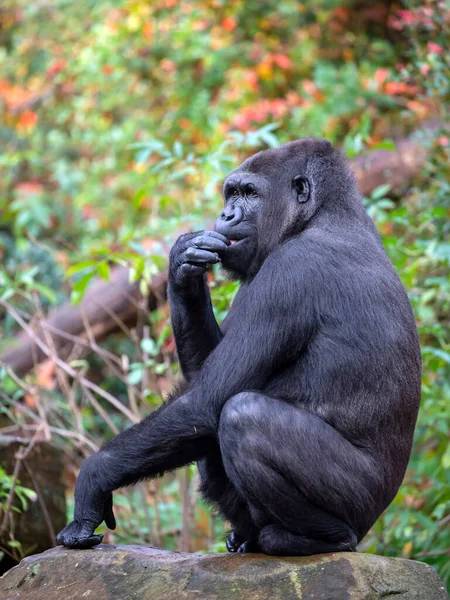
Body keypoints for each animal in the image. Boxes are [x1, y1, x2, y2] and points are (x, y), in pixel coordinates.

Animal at [57, 138, 422, 556]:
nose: (226, 214)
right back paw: (248, 535)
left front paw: (94, 479)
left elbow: (207, 400)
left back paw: (320, 537)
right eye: (231, 193)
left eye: (249, 194)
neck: (320, 216)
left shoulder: (289, 270)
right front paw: (182, 266)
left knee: (242, 416)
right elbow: (203, 386)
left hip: (363, 508)